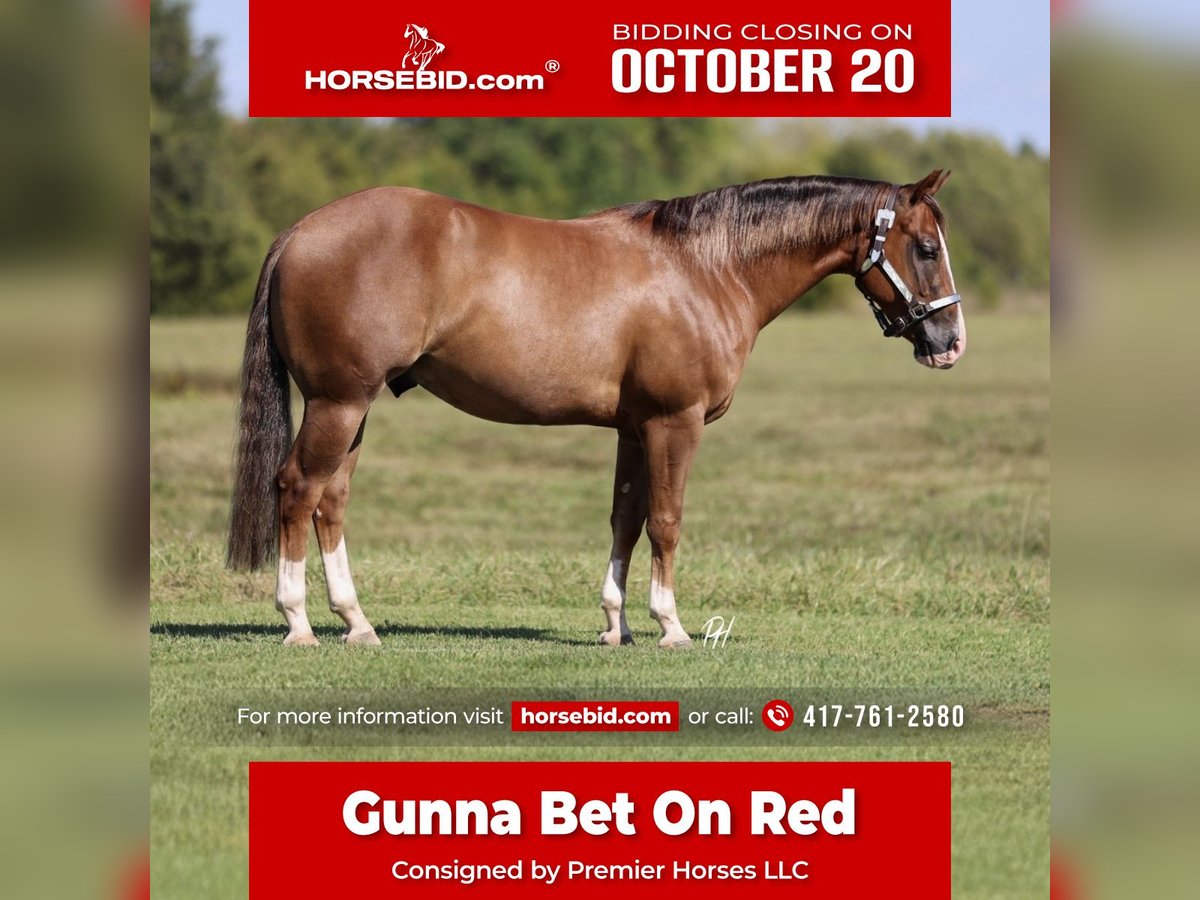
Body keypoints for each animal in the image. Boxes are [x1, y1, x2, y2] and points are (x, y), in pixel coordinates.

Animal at [226, 170, 965, 649]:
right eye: (926, 248)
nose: (950, 343)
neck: (706, 268)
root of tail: (299, 232)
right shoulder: (674, 422)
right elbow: (666, 521)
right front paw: (671, 626)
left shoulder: (635, 429)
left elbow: (626, 519)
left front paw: (617, 624)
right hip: (338, 402)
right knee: (298, 490)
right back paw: (297, 623)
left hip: (352, 408)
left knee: (331, 501)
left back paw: (356, 623)